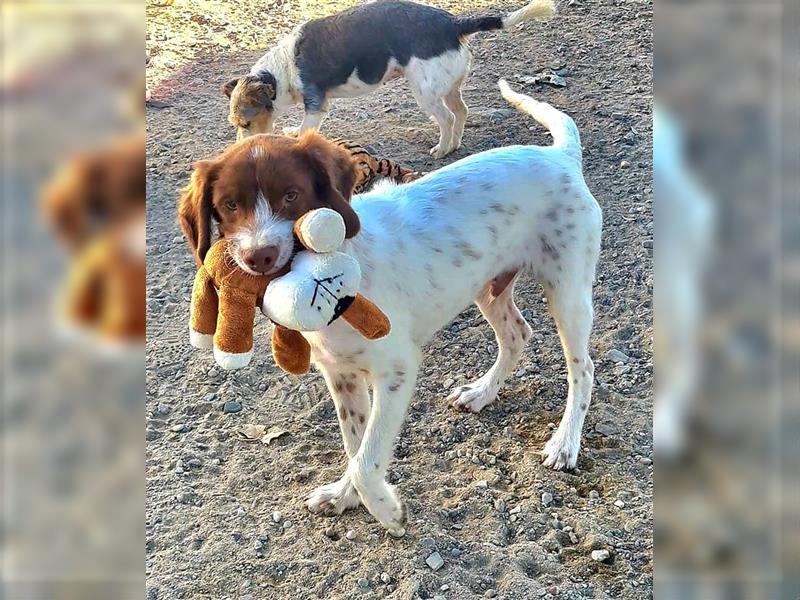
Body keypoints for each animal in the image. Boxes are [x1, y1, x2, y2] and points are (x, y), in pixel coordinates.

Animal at [222, 0, 552, 157]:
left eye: (246, 124)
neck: (280, 72)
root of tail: (453, 23)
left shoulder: (315, 104)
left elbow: (306, 129)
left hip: (425, 92)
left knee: (446, 118)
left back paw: (442, 149)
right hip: (448, 87)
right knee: (461, 112)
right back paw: (455, 145)